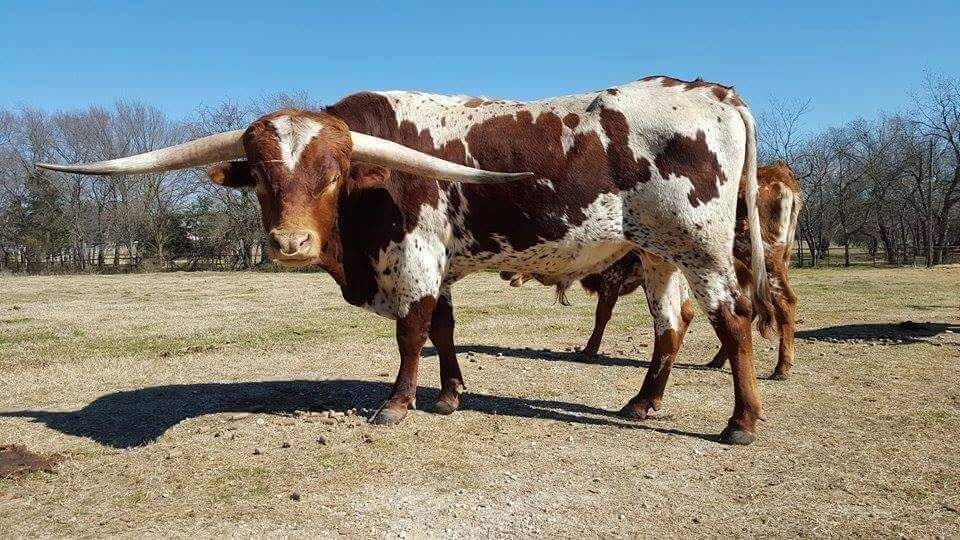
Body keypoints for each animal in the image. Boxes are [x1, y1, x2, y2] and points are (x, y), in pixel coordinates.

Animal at [505, 163, 802, 380]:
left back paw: (782, 367)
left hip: (764, 262)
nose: (506, 273)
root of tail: (778, 174)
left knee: (784, 303)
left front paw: (589, 350)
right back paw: (719, 360)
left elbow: (604, 314)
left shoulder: (615, 276)